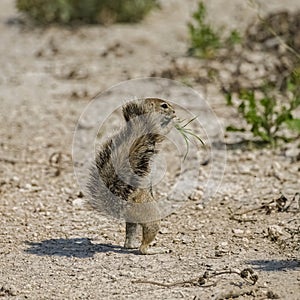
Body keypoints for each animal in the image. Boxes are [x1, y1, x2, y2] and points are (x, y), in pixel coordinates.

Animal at [86, 97, 176, 254]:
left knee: (129, 238)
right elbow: (164, 131)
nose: (174, 112)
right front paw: (175, 123)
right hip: (152, 217)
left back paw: (131, 245)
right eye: (164, 105)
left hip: (132, 222)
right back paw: (155, 250)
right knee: (143, 246)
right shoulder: (154, 129)